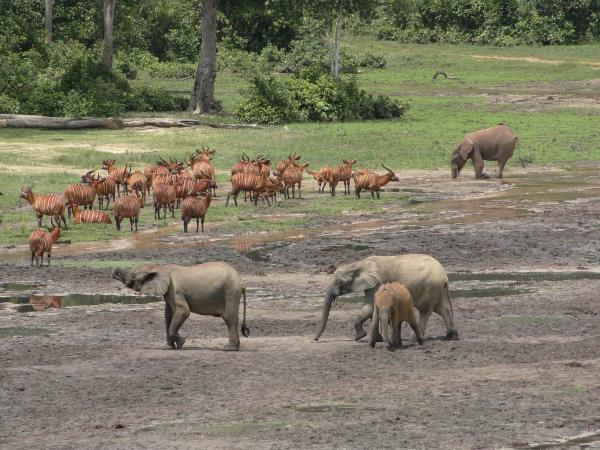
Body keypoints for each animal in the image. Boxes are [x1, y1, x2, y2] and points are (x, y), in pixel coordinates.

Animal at [110, 260, 248, 352]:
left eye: (133, 276)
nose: (113, 273)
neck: (160, 267)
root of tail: (242, 282)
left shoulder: (175, 290)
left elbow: (183, 311)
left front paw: (181, 343)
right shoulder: (168, 292)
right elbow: (168, 315)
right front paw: (169, 347)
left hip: (230, 291)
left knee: (229, 319)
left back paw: (229, 348)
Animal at [312, 253, 458, 342]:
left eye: (340, 282)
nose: (315, 339)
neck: (359, 264)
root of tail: (444, 275)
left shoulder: (377, 282)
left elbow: (369, 307)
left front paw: (360, 337)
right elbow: (372, 308)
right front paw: (377, 339)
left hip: (430, 286)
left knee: (425, 311)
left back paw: (414, 338)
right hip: (437, 288)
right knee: (442, 309)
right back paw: (450, 336)